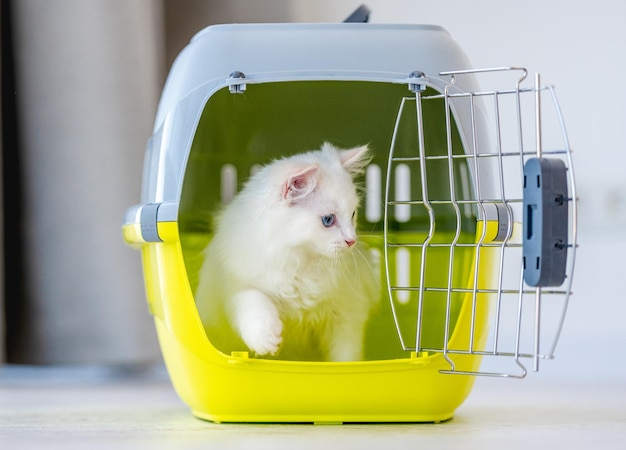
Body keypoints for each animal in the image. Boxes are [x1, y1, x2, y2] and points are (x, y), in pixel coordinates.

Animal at [195, 144, 378, 362]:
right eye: (328, 220)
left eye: (353, 214)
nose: (352, 240)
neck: (303, 261)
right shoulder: (236, 285)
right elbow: (255, 303)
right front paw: (269, 340)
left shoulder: (346, 314)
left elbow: (345, 355)